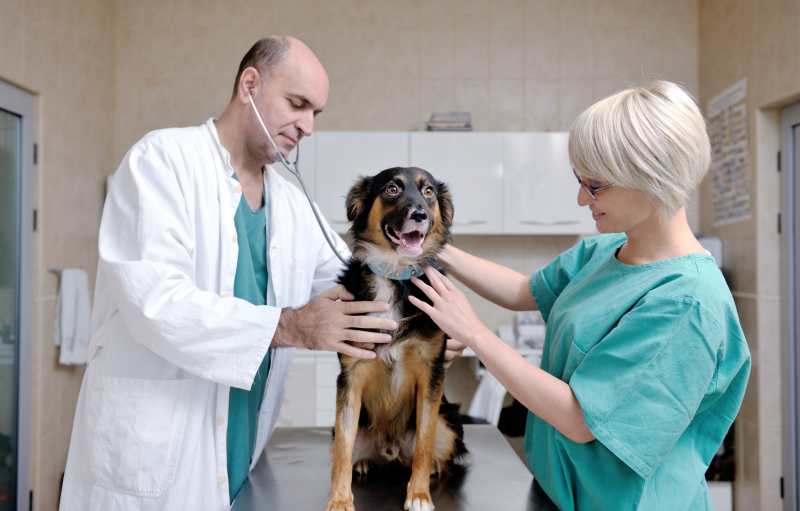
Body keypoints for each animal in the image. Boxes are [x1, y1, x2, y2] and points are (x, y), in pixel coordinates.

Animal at [324, 168, 466, 511]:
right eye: (392, 189)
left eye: (428, 192)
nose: (420, 214)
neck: (394, 275)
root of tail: (391, 450)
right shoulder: (350, 376)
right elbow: (343, 450)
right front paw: (340, 500)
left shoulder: (431, 374)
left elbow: (424, 442)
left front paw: (419, 495)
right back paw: (364, 463)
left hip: (449, 424)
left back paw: (433, 470)